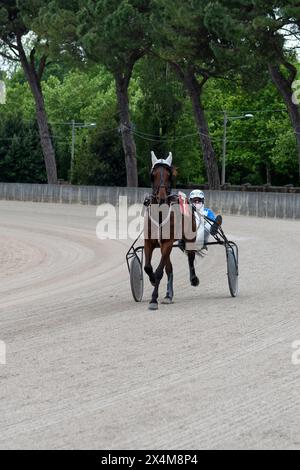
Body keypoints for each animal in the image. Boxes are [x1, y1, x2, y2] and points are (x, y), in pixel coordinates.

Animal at [143, 152, 199, 310]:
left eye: (169, 175)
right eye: (153, 174)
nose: (161, 198)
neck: (160, 215)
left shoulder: (168, 242)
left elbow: (159, 271)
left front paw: (153, 300)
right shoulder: (149, 242)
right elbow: (148, 267)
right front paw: (152, 280)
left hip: (189, 237)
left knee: (190, 256)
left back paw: (193, 279)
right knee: (169, 268)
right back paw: (168, 296)